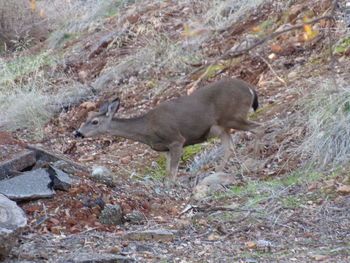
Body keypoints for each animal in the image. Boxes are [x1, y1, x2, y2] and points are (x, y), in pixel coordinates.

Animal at [74, 77, 260, 183]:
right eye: (87, 117)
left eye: (95, 121)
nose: (77, 133)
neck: (147, 128)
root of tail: (250, 88)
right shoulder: (165, 149)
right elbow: (167, 172)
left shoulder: (177, 140)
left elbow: (172, 173)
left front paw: (171, 187)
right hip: (223, 125)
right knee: (230, 147)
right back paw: (218, 173)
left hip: (233, 116)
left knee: (259, 127)